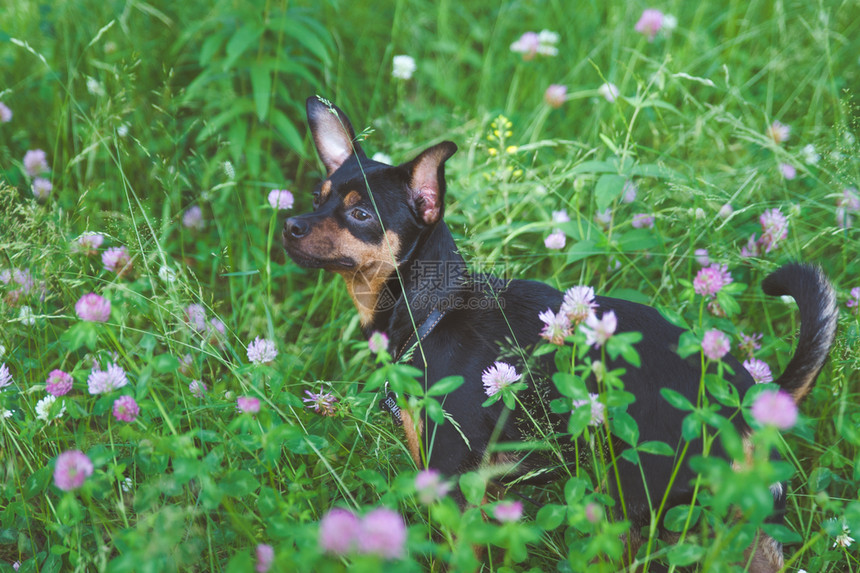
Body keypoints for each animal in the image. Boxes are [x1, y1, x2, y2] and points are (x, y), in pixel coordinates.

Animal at [286, 96, 836, 568]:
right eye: (317, 198)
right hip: (733, 517)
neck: (433, 311)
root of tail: (750, 396)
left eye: (360, 214)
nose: (290, 224)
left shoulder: (451, 481)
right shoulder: (487, 488)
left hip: (648, 502)